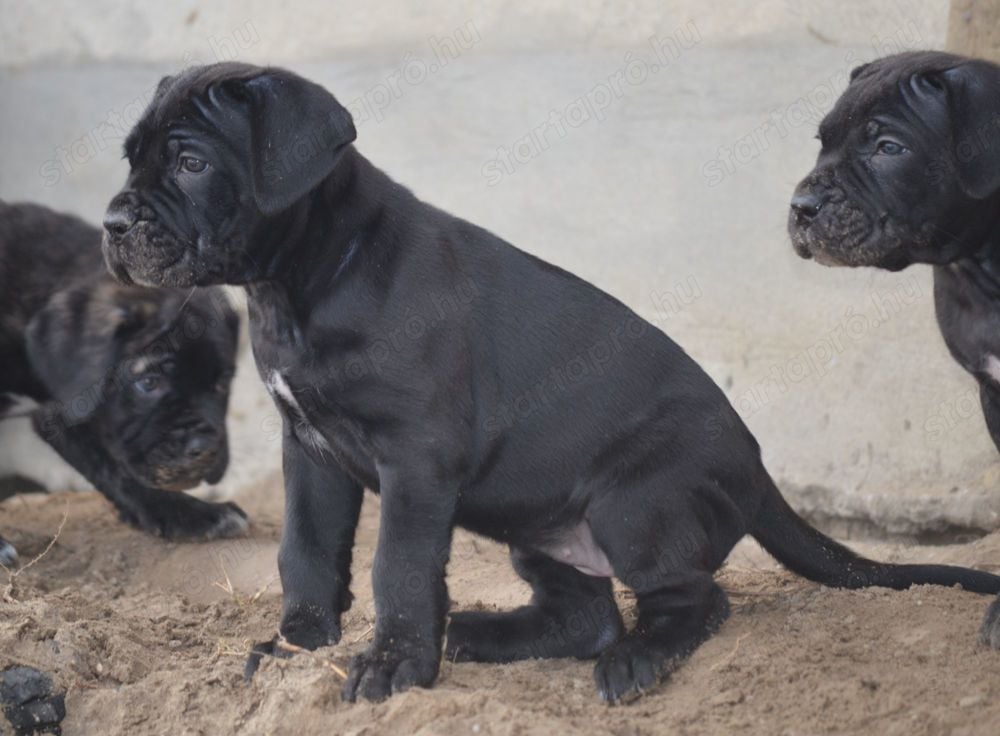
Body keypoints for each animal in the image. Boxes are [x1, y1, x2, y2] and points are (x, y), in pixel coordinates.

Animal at [0, 200, 248, 564]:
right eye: (148, 382)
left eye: (222, 383)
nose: (203, 450)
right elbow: (114, 463)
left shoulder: (63, 409)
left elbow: (112, 467)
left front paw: (188, 515)